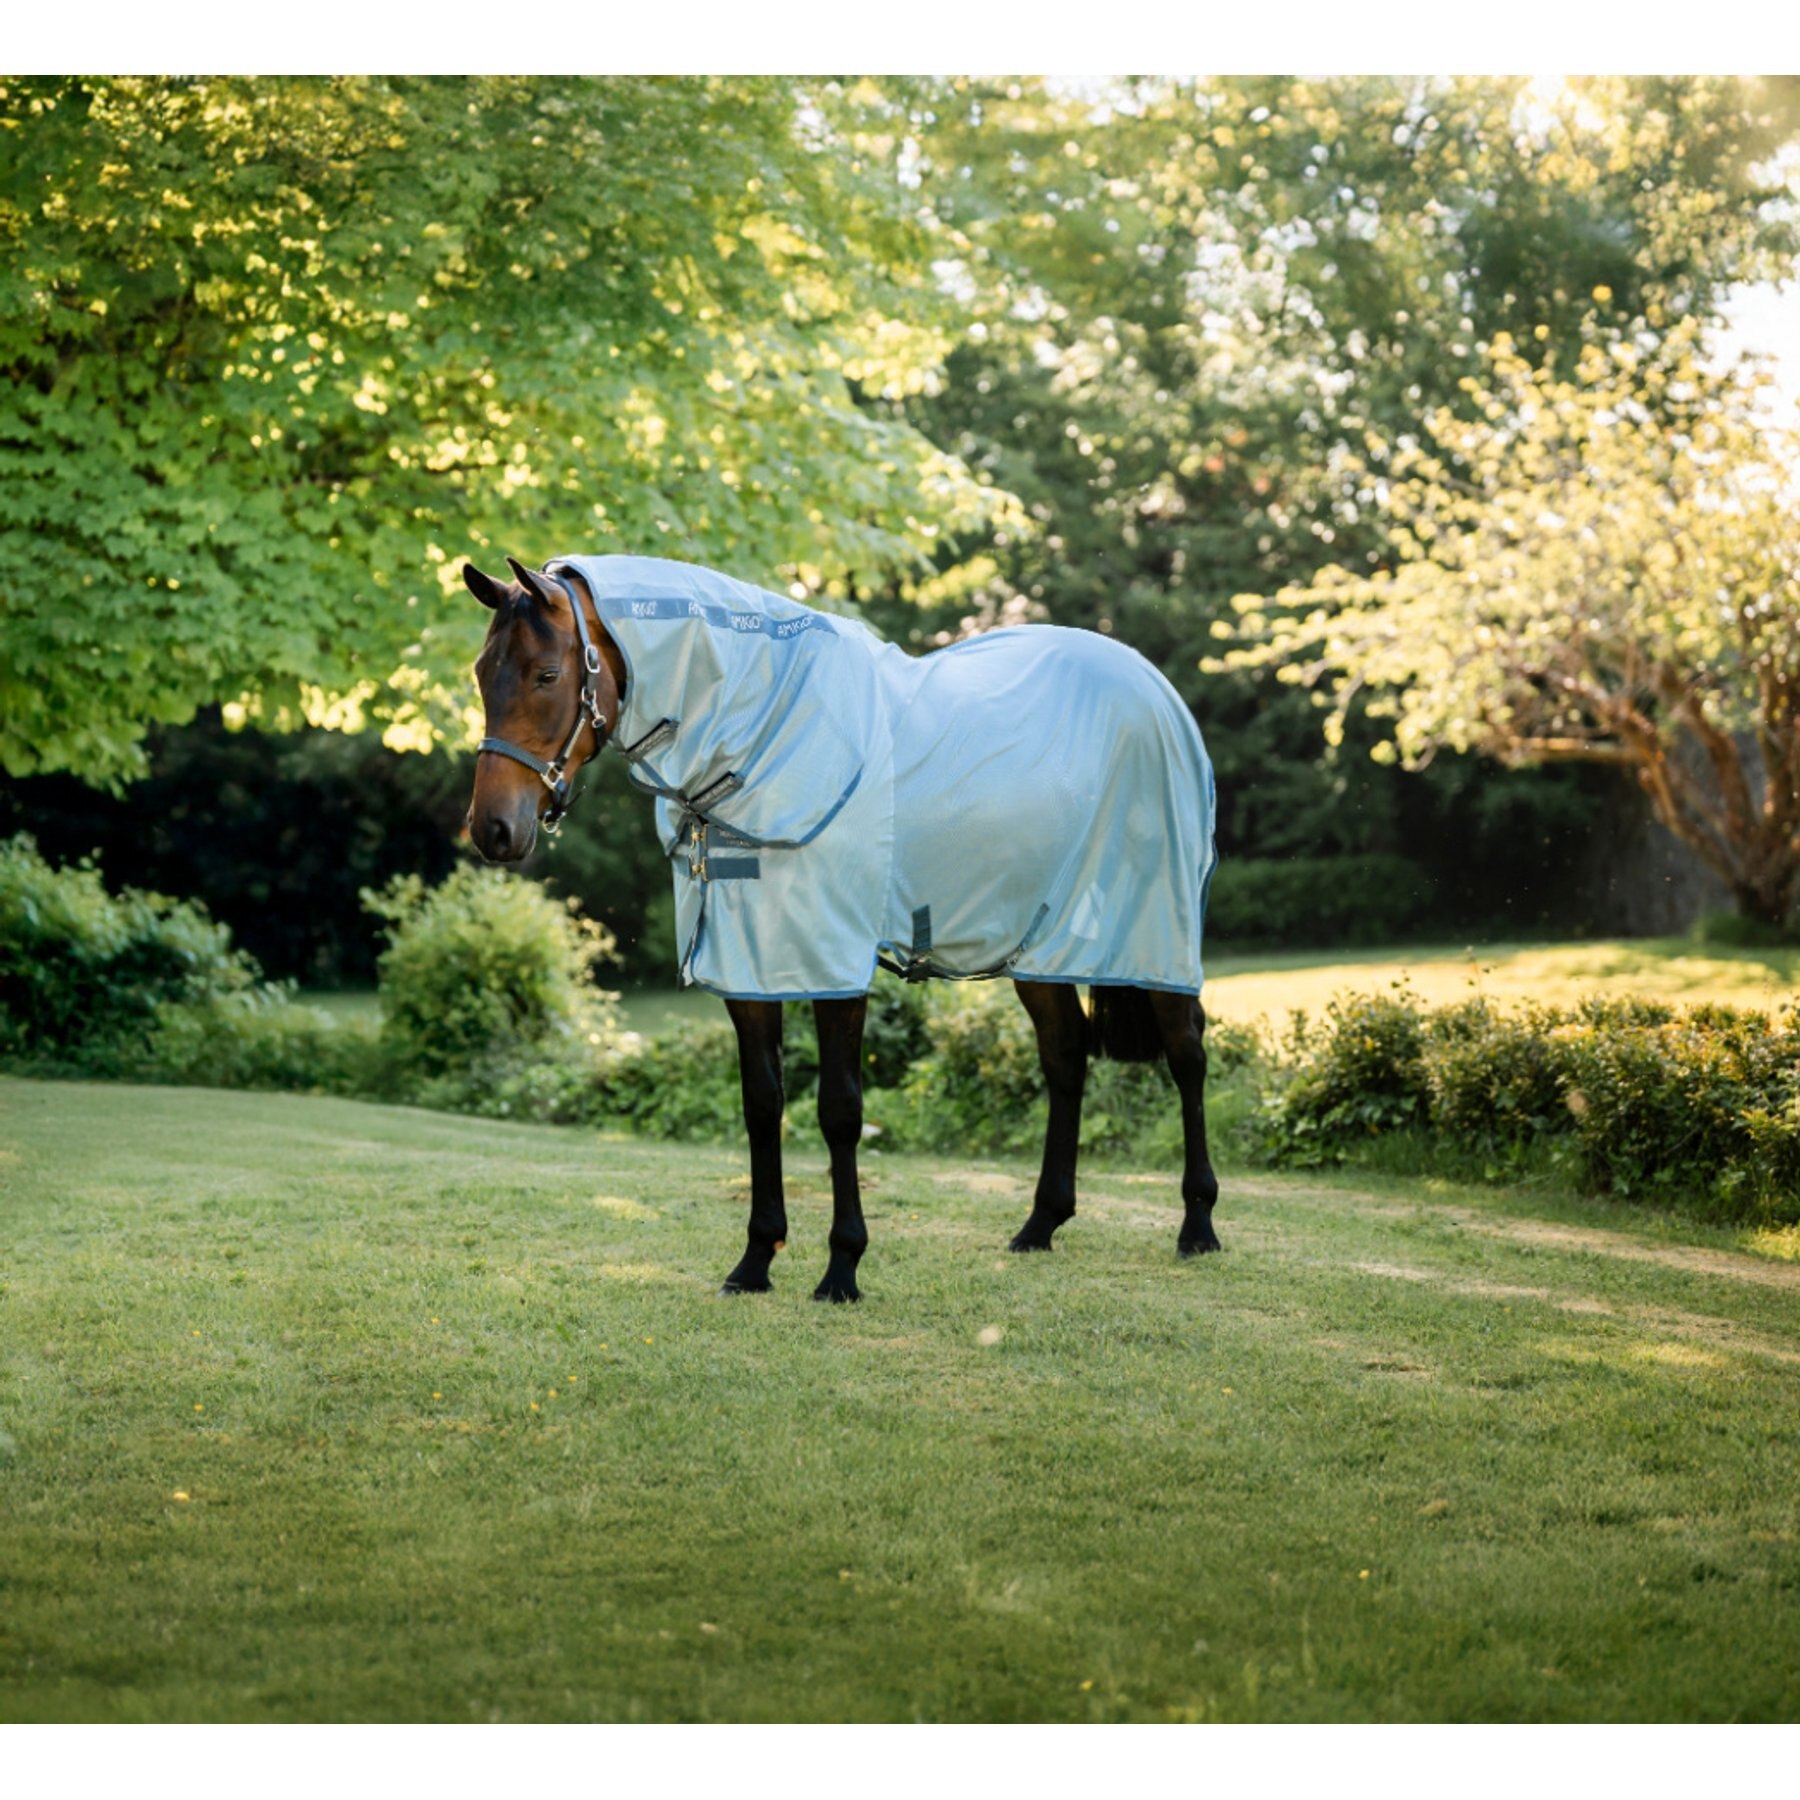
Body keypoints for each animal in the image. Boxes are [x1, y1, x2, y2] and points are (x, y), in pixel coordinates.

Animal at [462, 552, 1222, 1303]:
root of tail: (1152, 686)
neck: (774, 732)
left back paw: (1198, 1226)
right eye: (479, 673)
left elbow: (839, 1111)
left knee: (1187, 1054)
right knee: (1065, 1055)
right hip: (1038, 947)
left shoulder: (833, 964)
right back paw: (1040, 1224)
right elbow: (762, 1103)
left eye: (547, 675)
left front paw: (842, 1267)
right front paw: (755, 1261)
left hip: (1156, 933)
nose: (493, 830)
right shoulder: (750, 965)